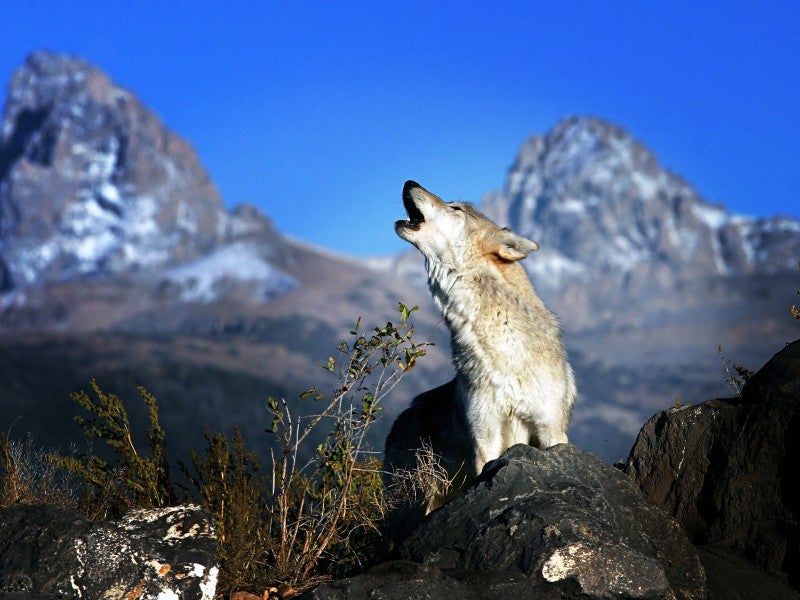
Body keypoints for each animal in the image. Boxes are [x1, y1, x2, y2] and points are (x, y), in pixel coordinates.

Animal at [382, 180, 576, 540]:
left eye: (456, 208)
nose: (409, 183)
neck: (503, 350)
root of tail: (400, 419)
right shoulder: (485, 436)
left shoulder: (551, 429)